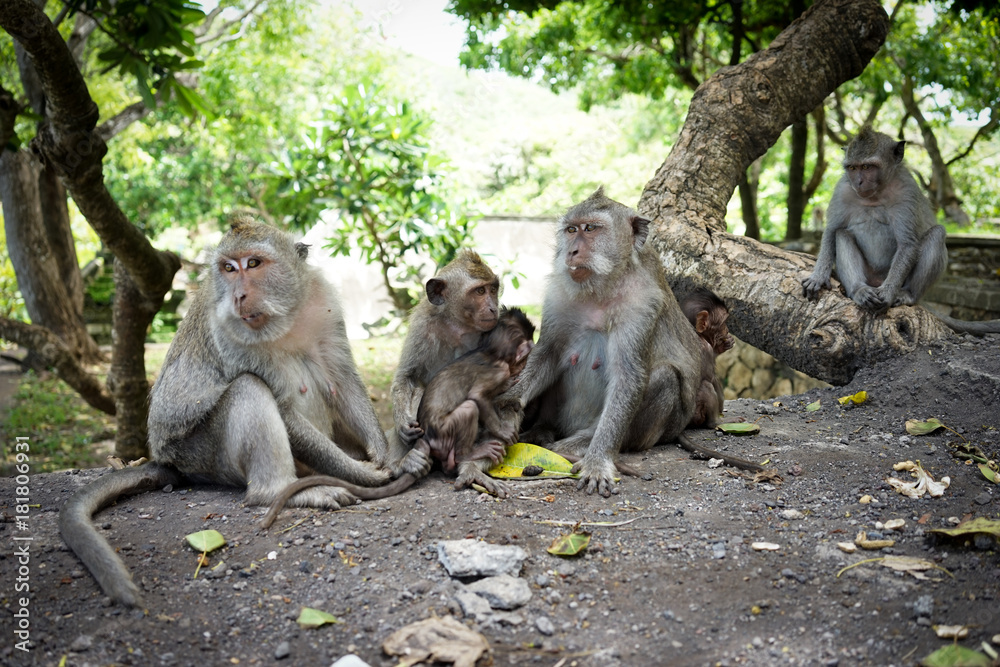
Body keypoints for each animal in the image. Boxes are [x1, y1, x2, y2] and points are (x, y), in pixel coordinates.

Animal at [59, 217, 430, 608]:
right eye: (228, 268)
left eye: (253, 264)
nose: (238, 296)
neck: (285, 317)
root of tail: (166, 460)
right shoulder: (229, 331)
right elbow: (281, 406)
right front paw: (372, 473)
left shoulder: (322, 300)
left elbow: (341, 379)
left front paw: (389, 455)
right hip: (201, 455)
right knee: (248, 389)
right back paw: (283, 491)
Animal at [388, 247, 500, 464]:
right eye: (480, 291)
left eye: (493, 289)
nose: (493, 308)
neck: (457, 324)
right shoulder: (422, 327)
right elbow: (407, 376)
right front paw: (402, 423)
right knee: (419, 390)